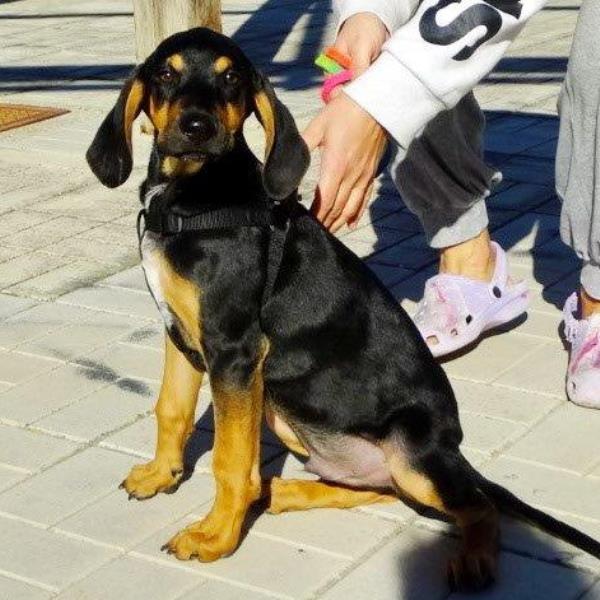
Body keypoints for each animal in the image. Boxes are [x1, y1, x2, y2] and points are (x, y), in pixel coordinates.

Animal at [87, 27, 600, 592]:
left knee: (477, 505)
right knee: (379, 488)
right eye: (165, 74)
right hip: (290, 415)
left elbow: (230, 460)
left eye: (231, 78)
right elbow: (170, 410)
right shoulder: (181, 334)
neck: (191, 196)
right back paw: (281, 491)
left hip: (409, 453)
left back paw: (473, 559)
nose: (196, 127)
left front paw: (215, 535)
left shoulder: (234, 351)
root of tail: (452, 450)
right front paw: (161, 475)